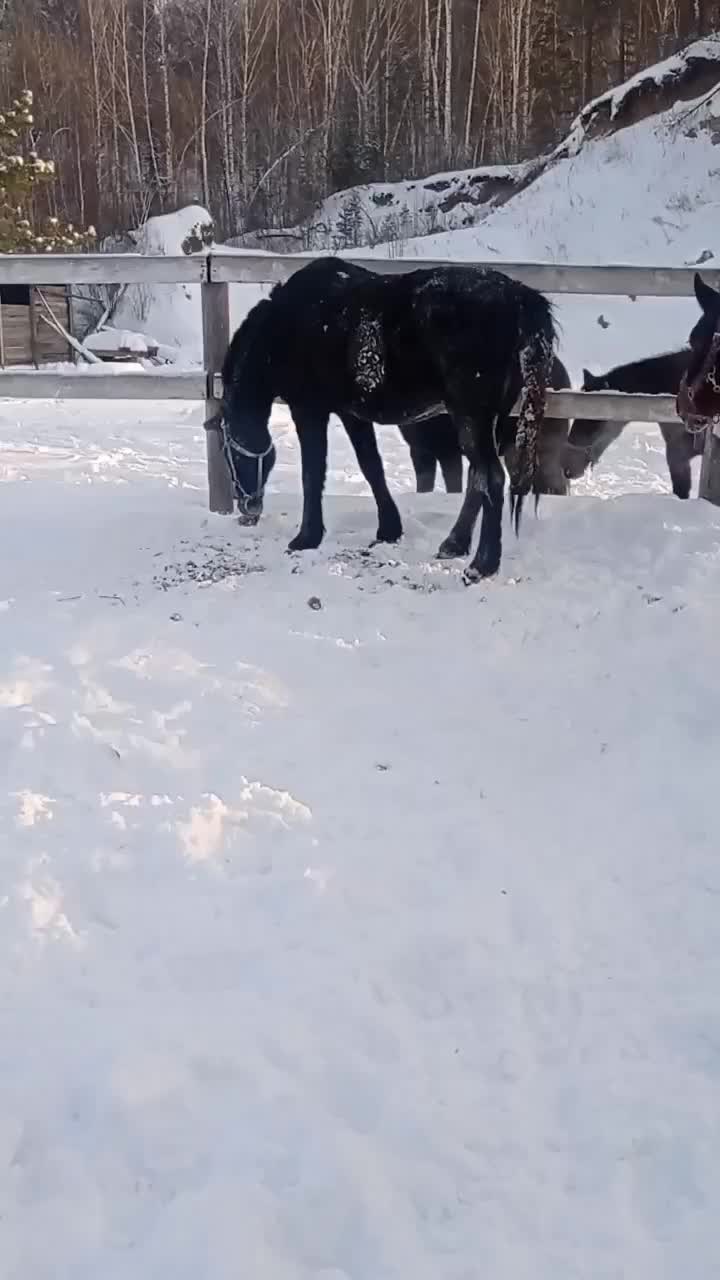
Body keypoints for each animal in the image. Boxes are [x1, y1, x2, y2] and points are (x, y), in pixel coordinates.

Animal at [399, 360, 568, 499]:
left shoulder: (449, 450)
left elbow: (453, 485)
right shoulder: (419, 449)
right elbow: (424, 484)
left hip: (543, 443)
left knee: (553, 481)